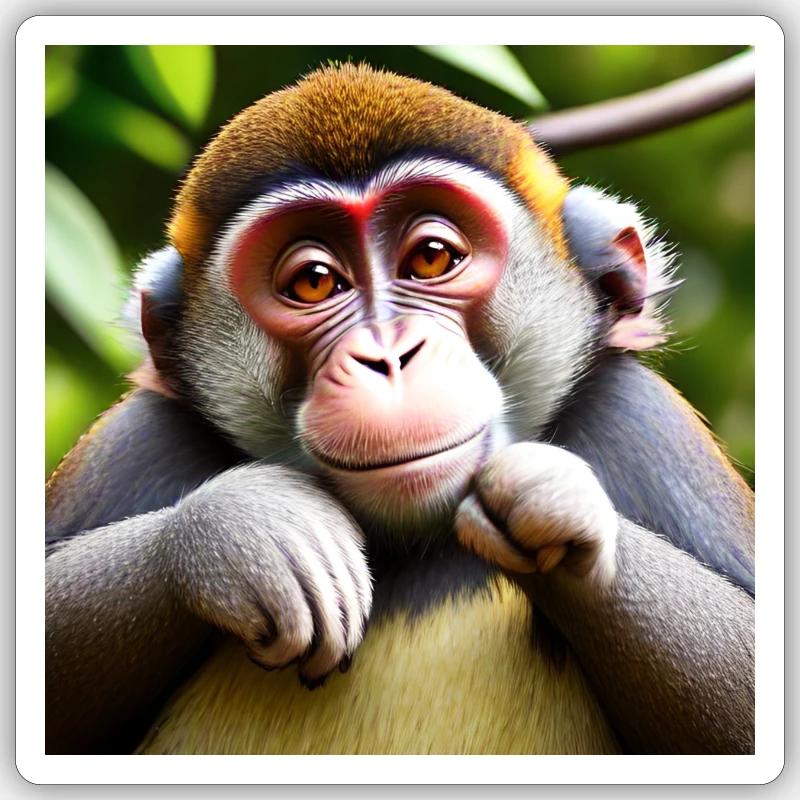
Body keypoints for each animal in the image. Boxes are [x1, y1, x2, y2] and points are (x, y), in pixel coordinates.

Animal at [45, 64, 754, 756]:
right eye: (314, 282)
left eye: (432, 257)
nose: (387, 357)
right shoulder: (139, 438)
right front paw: (244, 533)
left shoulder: (640, 419)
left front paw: (549, 503)